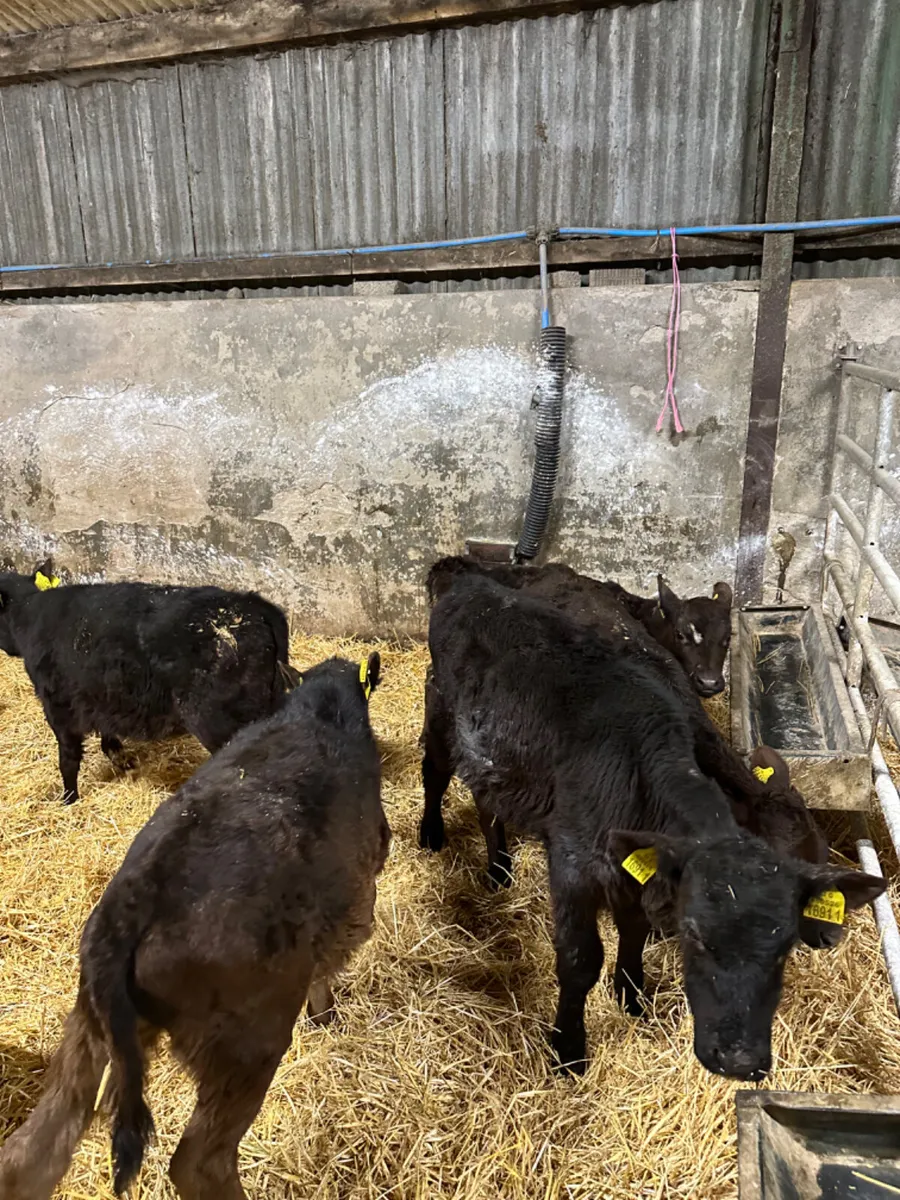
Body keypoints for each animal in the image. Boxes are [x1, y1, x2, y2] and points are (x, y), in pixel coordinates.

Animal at [0, 561, 296, 804]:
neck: (28, 615)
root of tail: (249, 603)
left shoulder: (58, 706)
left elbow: (68, 759)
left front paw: (69, 800)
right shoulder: (102, 694)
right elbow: (108, 732)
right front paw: (121, 759)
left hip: (221, 722)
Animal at [0, 653, 389, 1200]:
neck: (320, 711)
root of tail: (130, 908)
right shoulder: (360, 887)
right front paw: (327, 1015)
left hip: (88, 1030)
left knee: (29, 1156)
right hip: (246, 1044)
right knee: (199, 1161)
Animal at [419, 567, 884, 1079]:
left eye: (817, 850)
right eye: (696, 935)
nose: (830, 932)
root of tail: (471, 585)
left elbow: (635, 928)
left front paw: (633, 996)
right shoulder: (572, 862)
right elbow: (580, 958)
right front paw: (569, 1048)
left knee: (486, 797)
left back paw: (500, 866)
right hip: (439, 710)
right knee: (435, 770)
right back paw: (432, 833)